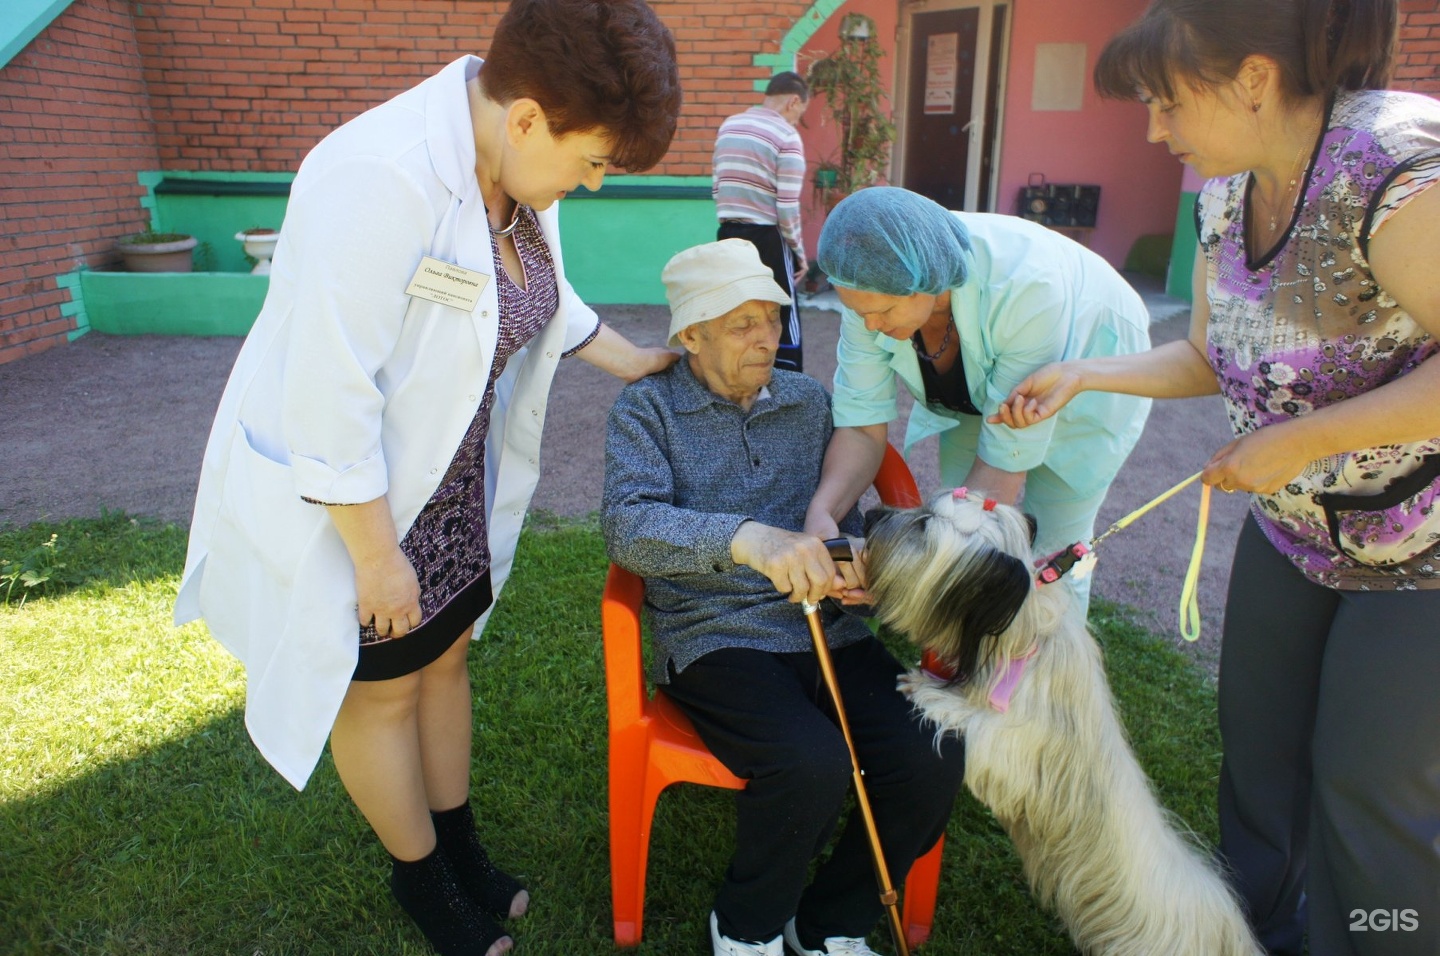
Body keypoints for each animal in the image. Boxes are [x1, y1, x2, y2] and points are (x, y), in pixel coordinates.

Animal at [864, 489, 1261, 950]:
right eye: (923, 510)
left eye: (924, 525)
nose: (871, 515)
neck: (1024, 636)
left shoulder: (1015, 746)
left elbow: (975, 723)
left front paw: (926, 689)